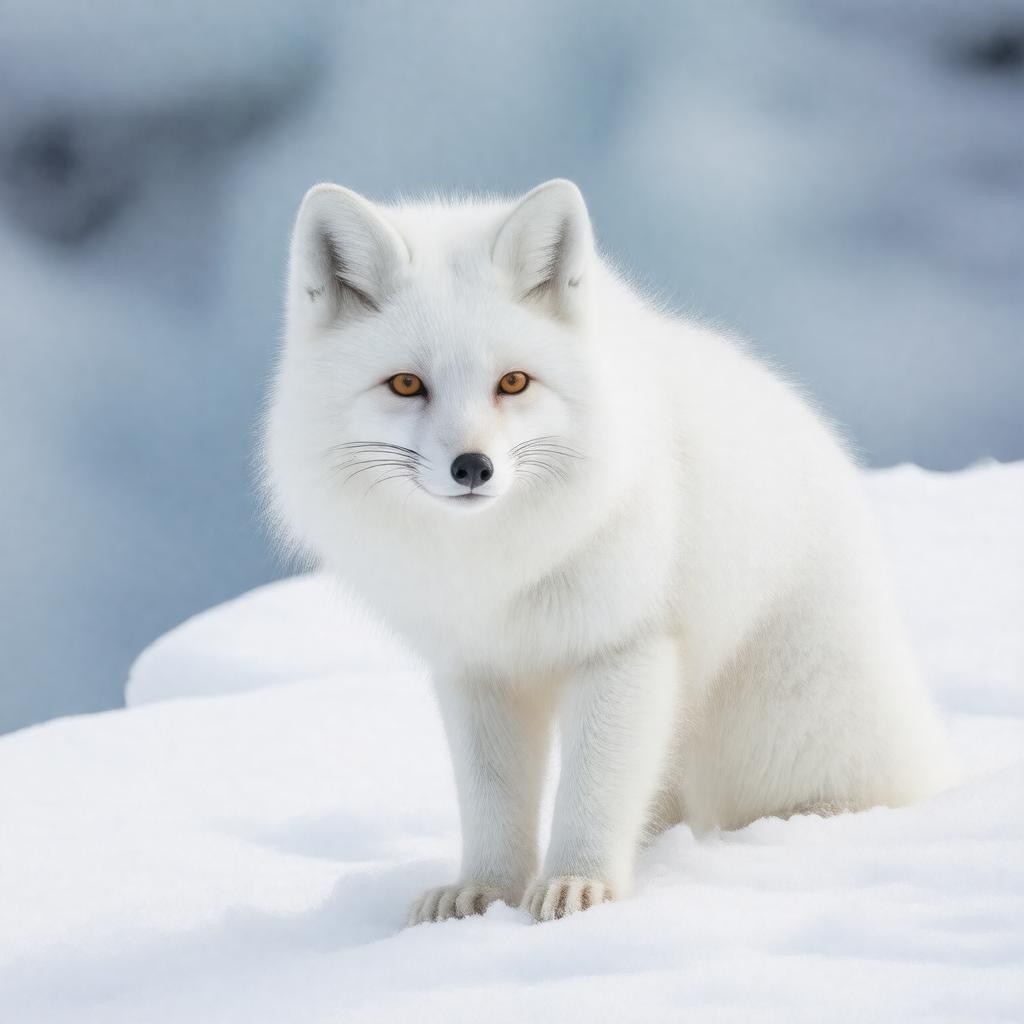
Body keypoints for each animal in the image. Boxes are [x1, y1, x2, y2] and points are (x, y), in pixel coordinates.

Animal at [263, 178, 953, 925]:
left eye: (513, 382)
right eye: (406, 384)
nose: (473, 468)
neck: (497, 568)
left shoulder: (623, 647)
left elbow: (591, 792)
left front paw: (578, 886)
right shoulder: (478, 672)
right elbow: (491, 802)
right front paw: (484, 892)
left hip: (779, 727)